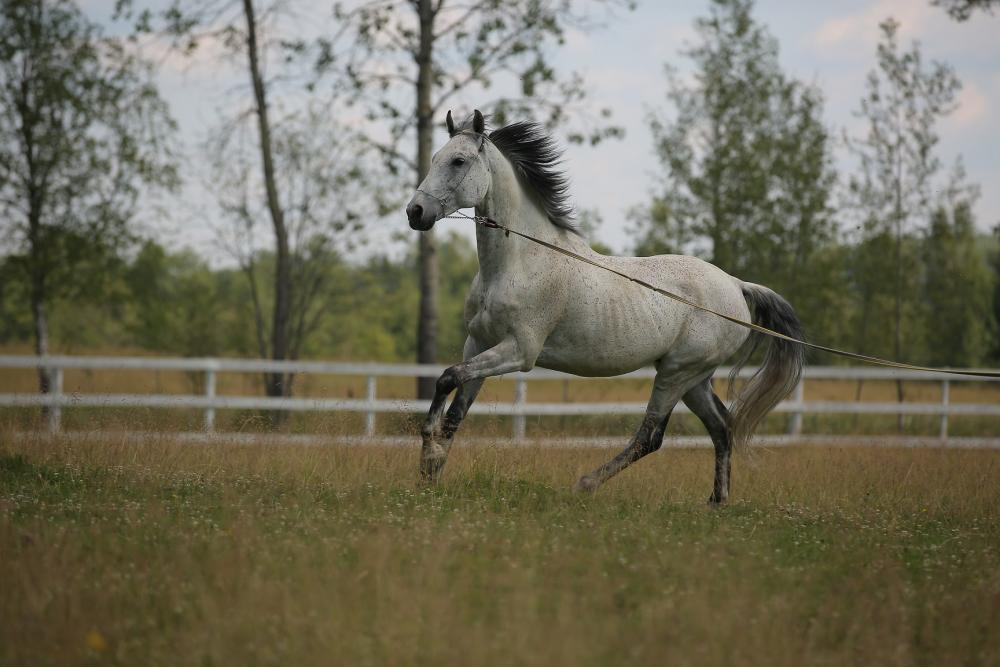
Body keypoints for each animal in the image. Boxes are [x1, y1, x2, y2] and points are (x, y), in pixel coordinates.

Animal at [405, 109, 804, 503]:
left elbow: (447, 377)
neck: (520, 262)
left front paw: (429, 458)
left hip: (677, 373)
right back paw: (716, 502)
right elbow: (455, 409)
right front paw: (430, 474)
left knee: (651, 437)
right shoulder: (479, 344)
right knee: (721, 427)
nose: (415, 212)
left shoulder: (519, 351)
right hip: (694, 378)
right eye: (434, 158)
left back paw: (586, 484)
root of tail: (736, 285)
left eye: (458, 161)